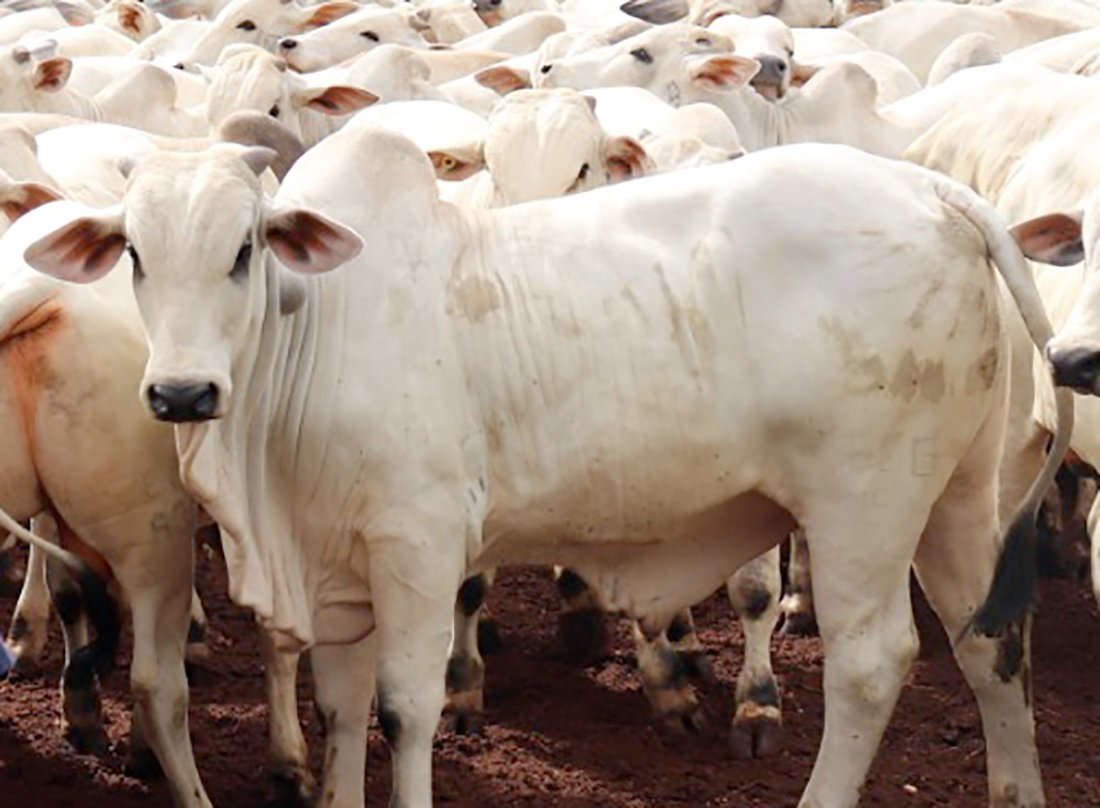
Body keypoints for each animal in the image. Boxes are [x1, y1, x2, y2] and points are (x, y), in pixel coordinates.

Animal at [22, 128, 1069, 808]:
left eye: (244, 250)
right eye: (134, 254)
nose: (181, 393)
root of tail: (932, 193)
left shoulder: (417, 547)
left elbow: (405, 711)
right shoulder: (339, 571)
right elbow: (338, 709)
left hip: (863, 507)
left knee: (870, 664)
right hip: (956, 496)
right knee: (992, 644)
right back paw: (1016, 791)